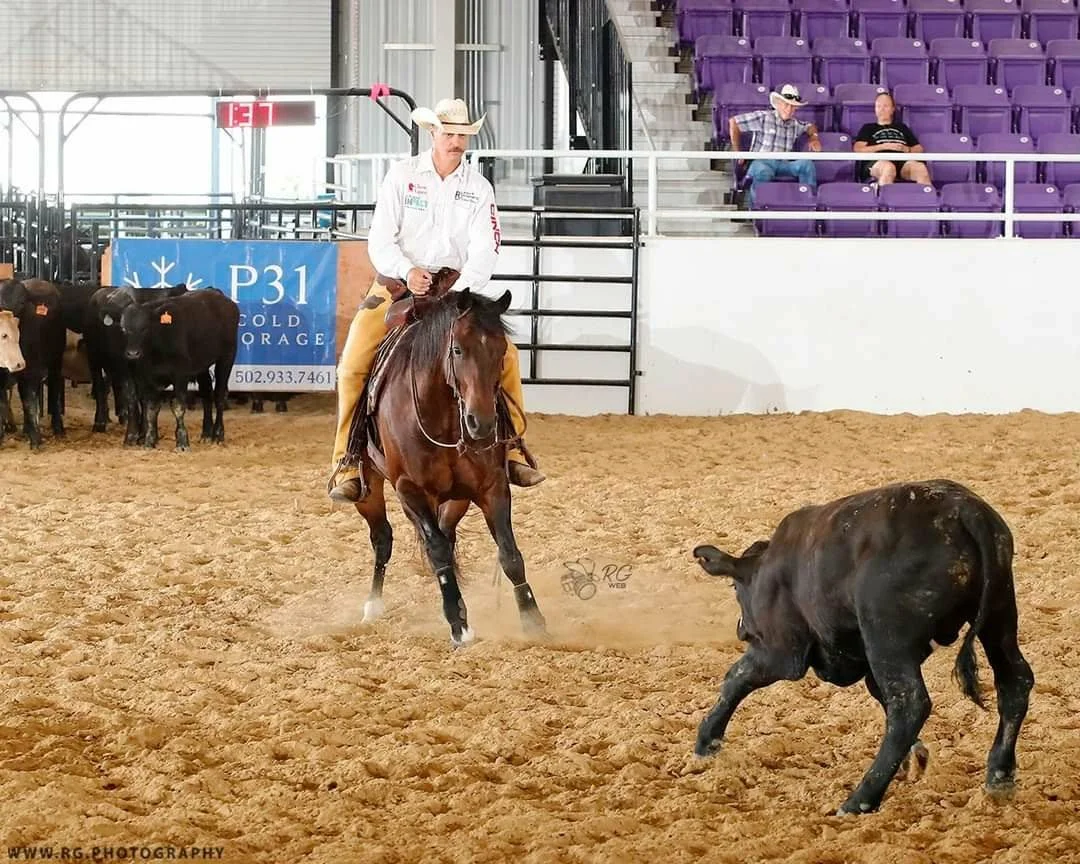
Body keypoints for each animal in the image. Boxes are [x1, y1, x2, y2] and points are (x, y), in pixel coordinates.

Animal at [0, 279, 66, 448]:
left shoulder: (30, 371)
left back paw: (58, 428)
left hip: (55, 361)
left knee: (54, 391)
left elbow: (29, 402)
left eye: (22, 303)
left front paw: (36, 439)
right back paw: (25, 430)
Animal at [119, 287, 239, 450]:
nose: (132, 353)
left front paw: (182, 441)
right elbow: (150, 409)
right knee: (206, 393)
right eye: (124, 329)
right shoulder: (148, 379)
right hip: (201, 365)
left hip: (227, 356)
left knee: (220, 395)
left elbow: (178, 406)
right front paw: (149, 441)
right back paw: (206, 434)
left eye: (145, 328)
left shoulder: (180, 376)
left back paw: (218, 434)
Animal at [691, 479, 1034, 816]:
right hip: (998, 615)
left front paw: (707, 741)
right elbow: (876, 691)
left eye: (736, 587)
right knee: (1014, 682)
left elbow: (737, 677)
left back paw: (860, 800)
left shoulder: (780, 651)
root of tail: (965, 511)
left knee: (909, 703)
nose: (741, 630)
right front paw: (916, 758)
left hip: (886, 638)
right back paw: (999, 777)